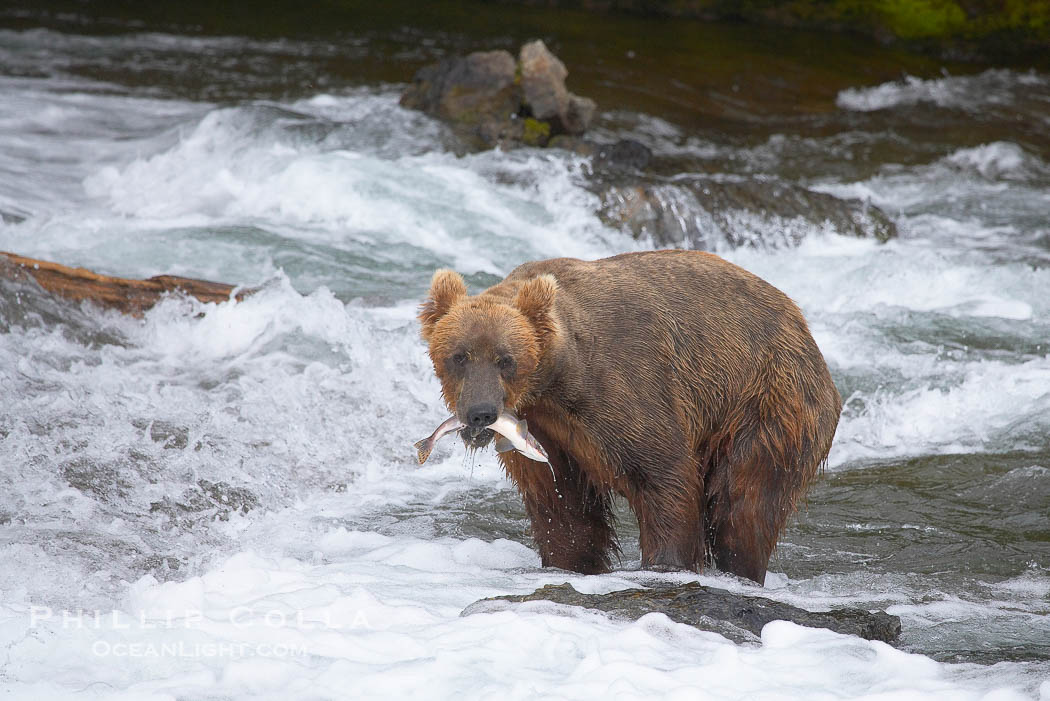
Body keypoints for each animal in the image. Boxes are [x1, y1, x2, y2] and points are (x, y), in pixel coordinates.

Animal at [418, 250, 841, 584]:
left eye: (506, 359)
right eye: (459, 356)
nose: (480, 414)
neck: (554, 382)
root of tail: (803, 327)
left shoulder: (623, 387)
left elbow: (665, 478)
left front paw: (665, 564)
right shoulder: (543, 433)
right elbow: (562, 506)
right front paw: (569, 562)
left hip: (769, 399)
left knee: (744, 502)